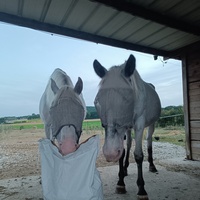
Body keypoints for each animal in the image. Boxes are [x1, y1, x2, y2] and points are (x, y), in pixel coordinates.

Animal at [93, 54, 161, 200]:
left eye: (127, 98)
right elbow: (123, 152)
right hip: (128, 129)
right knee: (129, 143)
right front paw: (120, 183)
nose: (110, 153)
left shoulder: (139, 125)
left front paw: (141, 189)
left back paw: (152, 165)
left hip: (151, 125)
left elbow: (138, 155)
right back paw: (124, 169)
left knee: (149, 141)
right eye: (97, 101)